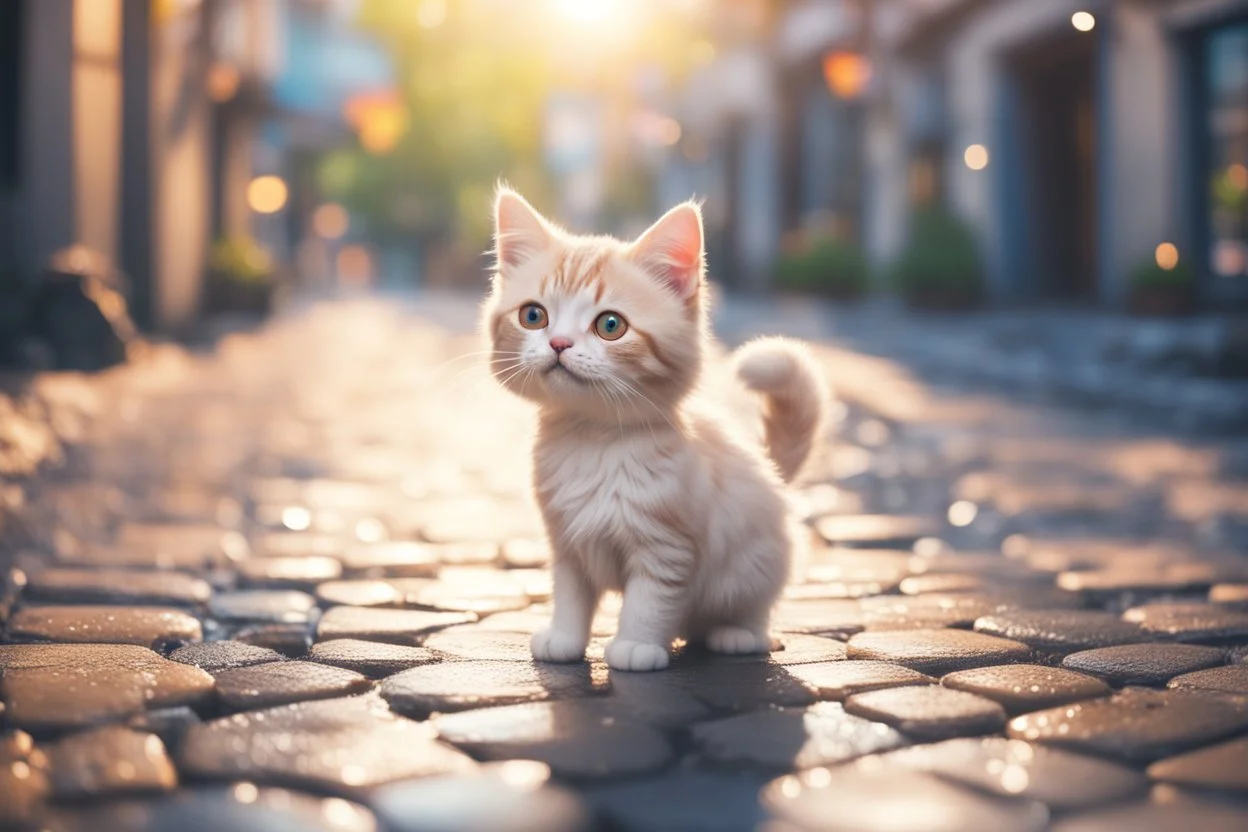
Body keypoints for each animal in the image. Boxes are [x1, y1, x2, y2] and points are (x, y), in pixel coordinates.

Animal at [484, 187, 828, 668]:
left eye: (610, 325)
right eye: (533, 317)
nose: (558, 344)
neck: (592, 441)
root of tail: (770, 470)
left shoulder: (667, 548)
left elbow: (648, 602)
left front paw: (637, 646)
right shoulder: (567, 543)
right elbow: (570, 595)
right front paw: (565, 638)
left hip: (756, 561)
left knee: (751, 609)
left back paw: (735, 634)